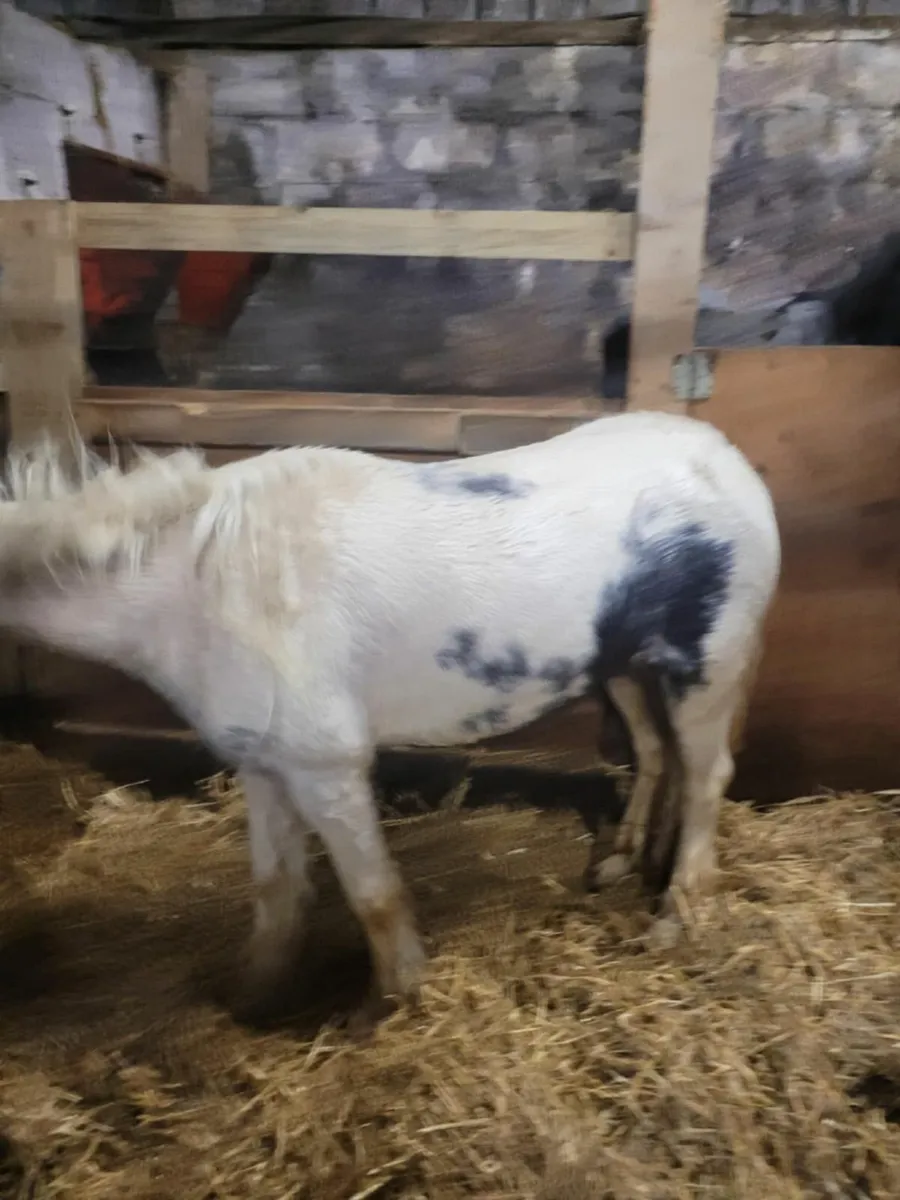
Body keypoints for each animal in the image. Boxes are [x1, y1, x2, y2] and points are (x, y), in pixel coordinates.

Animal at [0, 410, 780, 1017]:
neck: (204, 580)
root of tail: (726, 459)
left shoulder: (327, 765)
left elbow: (371, 893)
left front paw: (400, 998)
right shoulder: (265, 765)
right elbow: (276, 892)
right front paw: (253, 997)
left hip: (705, 669)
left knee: (706, 776)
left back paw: (677, 914)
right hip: (627, 669)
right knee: (654, 754)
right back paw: (626, 862)